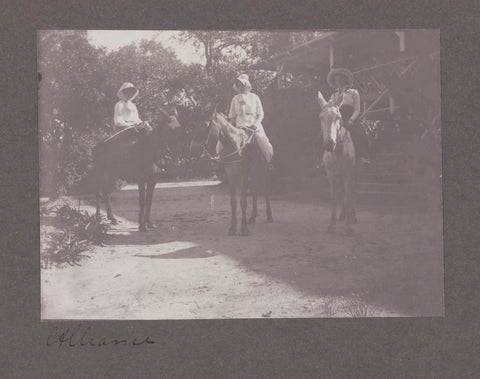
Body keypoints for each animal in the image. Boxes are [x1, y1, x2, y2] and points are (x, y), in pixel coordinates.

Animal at [191, 108, 274, 236]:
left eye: (204, 124)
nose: (192, 149)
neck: (236, 147)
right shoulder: (231, 176)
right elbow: (233, 202)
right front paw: (233, 227)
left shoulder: (243, 176)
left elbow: (243, 201)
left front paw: (244, 229)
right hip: (253, 174)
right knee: (255, 191)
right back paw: (252, 217)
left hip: (263, 171)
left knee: (266, 191)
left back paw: (269, 216)